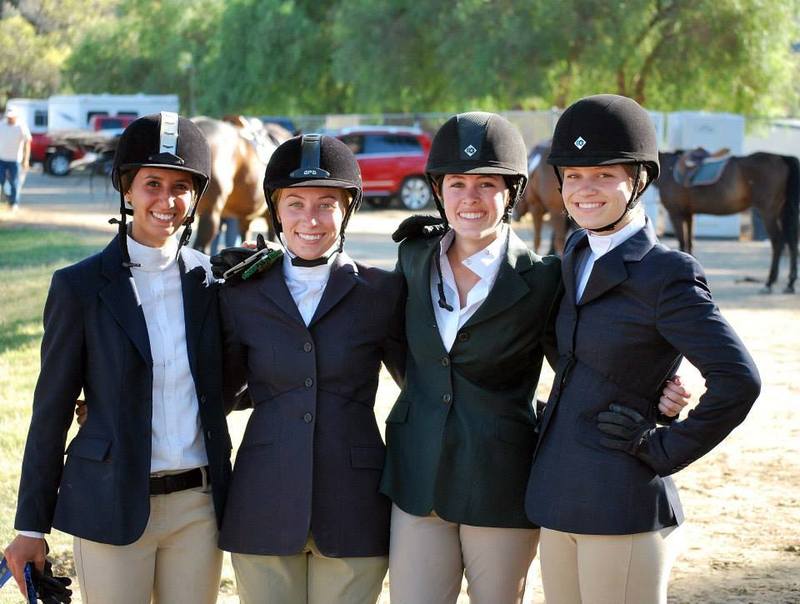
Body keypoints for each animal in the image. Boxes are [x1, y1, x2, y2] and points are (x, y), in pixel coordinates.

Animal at [656, 150, 800, 294]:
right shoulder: (688, 214)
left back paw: (769, 283)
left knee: (777, 242)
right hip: (783, 211)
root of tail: (781, 157)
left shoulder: (676, 214)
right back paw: (790, 283)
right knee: (791, 241)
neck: (668, 169)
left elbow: (682, 243)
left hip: (769, 212)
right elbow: (689, 243)